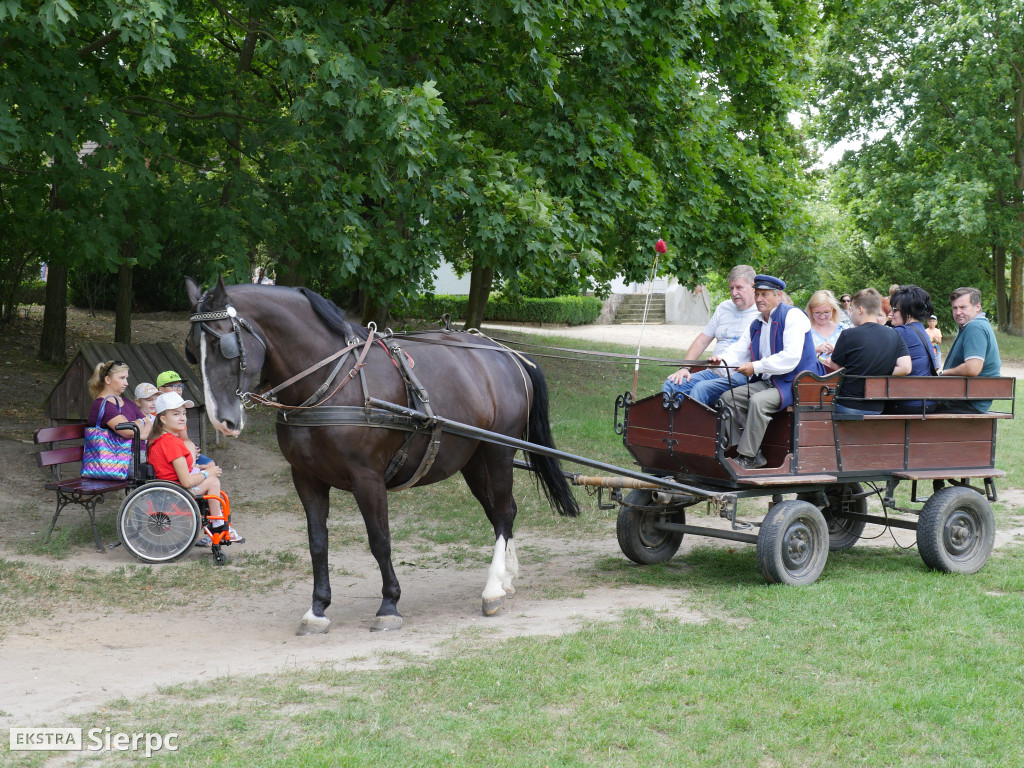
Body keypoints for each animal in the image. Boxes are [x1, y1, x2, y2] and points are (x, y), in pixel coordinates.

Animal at [187, 280, 581, 634]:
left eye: (224, 346)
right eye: (192, 351)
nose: (222, 421)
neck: (332, 383)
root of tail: (507, 353)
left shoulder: (368, 479)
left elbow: (380, 540)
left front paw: (389, 605)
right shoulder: (306, 479)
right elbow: (317, 543)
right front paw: (318, 609)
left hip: (498, 451)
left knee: (501, 512)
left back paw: (493, 589)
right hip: (473, 459)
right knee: (504, 511)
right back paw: (507, 576)